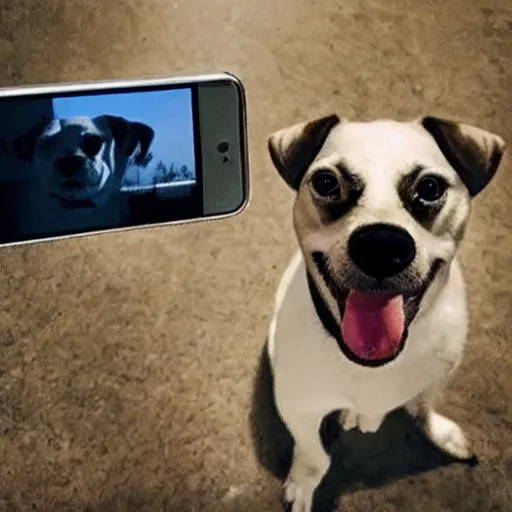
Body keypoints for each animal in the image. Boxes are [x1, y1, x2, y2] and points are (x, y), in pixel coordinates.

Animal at [266, 115, 506, 512]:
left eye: (430, 187)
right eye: (326, 182)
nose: (380, 244)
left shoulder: (437, 377)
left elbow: (423, 406)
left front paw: (442, 434)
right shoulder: (298, 407)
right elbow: (314, 453)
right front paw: (303, 481)